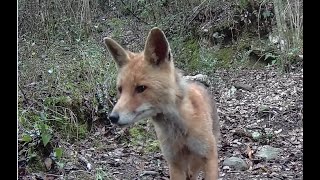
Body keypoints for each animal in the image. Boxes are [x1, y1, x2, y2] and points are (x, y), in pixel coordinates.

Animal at [104, 27, 219, 179]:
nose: (112, 117)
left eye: (141, 88)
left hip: (198, 160)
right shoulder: (174, 162)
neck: (180, 130)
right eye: (120, 89)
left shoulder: (208, 156)